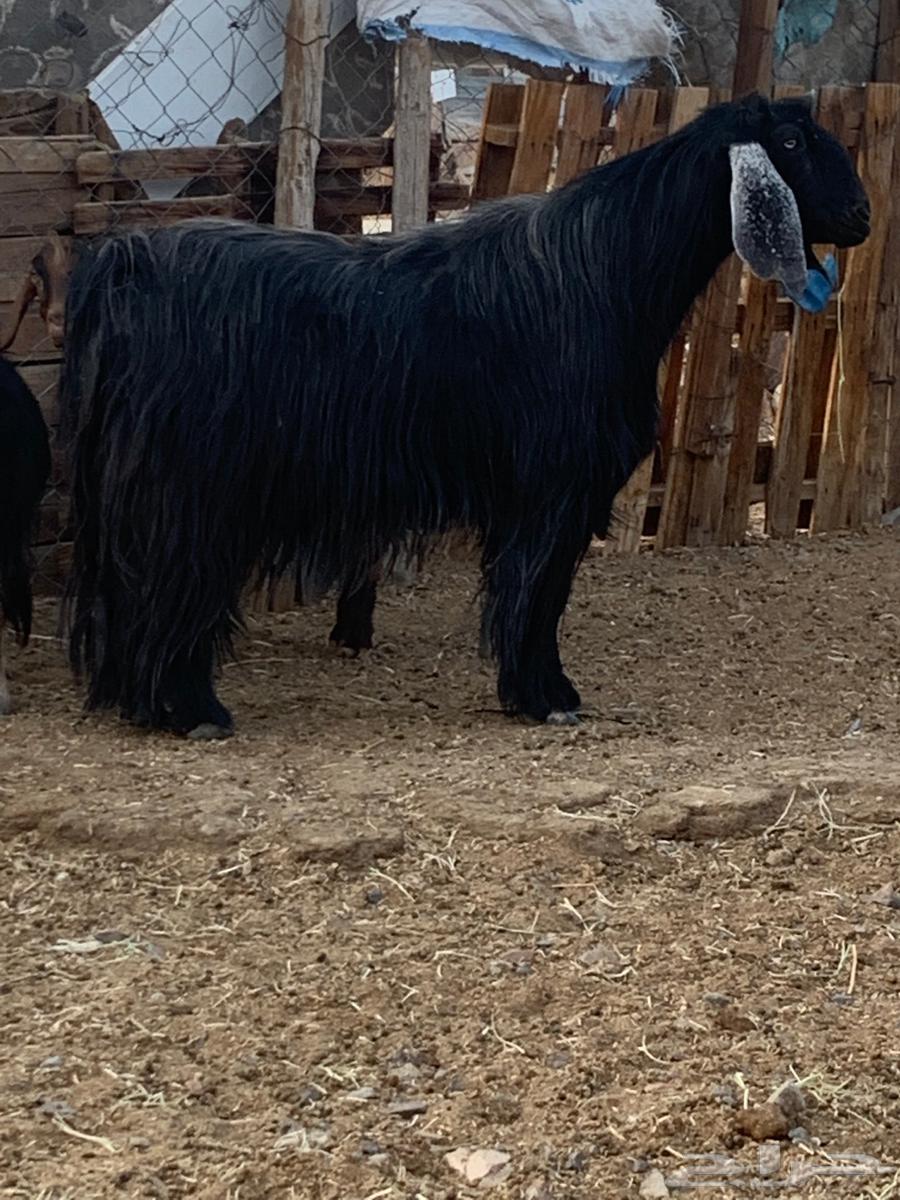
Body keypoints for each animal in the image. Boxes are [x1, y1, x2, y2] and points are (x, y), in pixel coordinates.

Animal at [58, 93, 869, 739]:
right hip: (187, 485)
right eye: (790, 142)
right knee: (169, 585)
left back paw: (146, 703)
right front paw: (546, 696)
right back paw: (193, 709)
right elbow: (537, 592)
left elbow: (537, 592)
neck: (606, 272)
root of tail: (124, 264)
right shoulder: (554, 487)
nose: (862, 215)